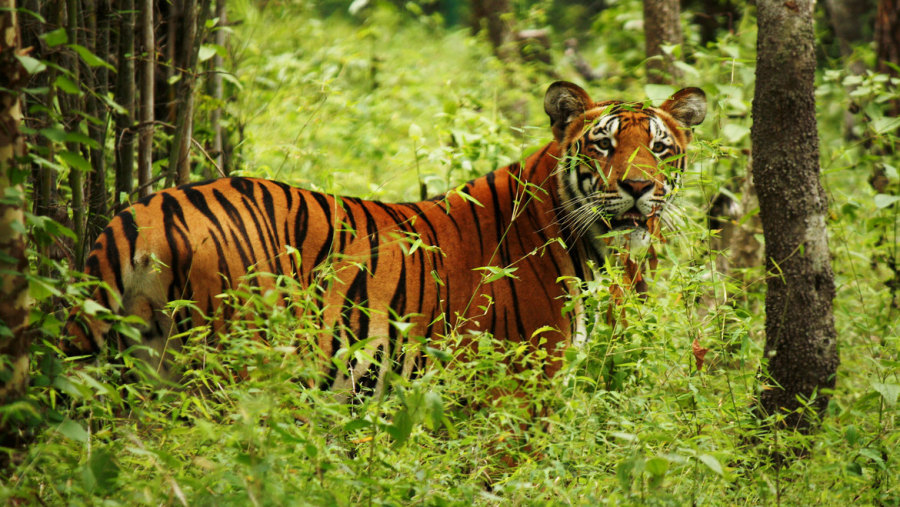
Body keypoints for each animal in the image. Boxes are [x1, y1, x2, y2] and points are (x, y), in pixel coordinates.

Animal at [63, 81, 708, 396]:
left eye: (659, 147)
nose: (637, 188)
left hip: (140, 368)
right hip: (232, 368)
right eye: (602, 144)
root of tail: (145, 210)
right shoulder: (518, 390)